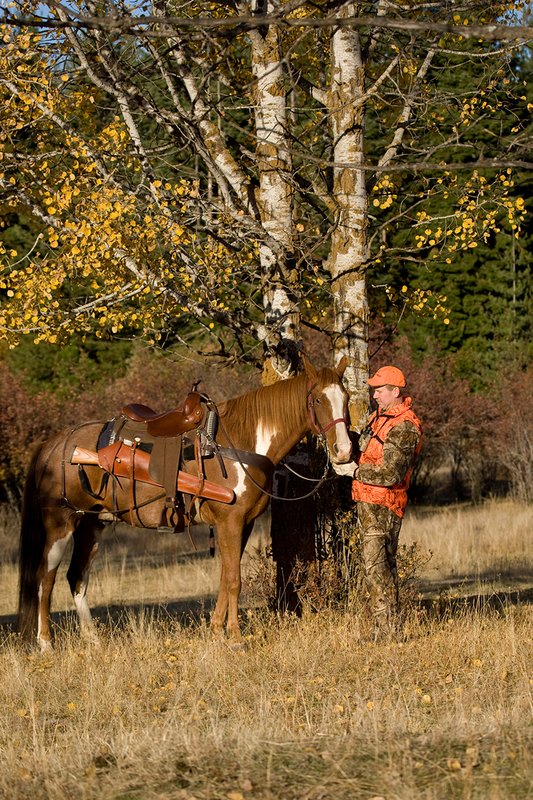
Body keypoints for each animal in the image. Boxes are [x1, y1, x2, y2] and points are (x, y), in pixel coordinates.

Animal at [18, 356, 352, 650]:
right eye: (318, 400)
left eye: (347, 399)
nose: (344, 451)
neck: (240, 444)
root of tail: (55, 445)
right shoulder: (230, 522)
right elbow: (234, 580)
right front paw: (235, 638)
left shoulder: (242, 525)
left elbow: (224, 576)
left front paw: (216, 631)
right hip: (60, 525)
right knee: (45, 579)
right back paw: (46, 643)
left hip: (92, 524)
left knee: (76, 577)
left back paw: (93, 640)